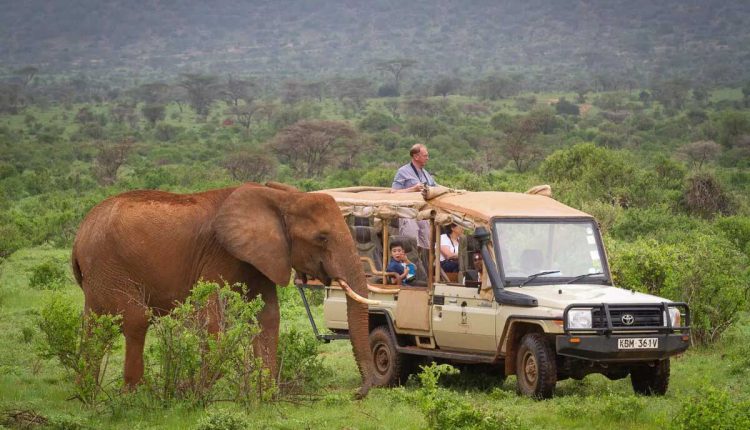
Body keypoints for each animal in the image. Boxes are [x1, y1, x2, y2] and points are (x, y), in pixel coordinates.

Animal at [72, 181, 376, 396]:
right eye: (322, 237)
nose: (357, 393)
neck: (281, 199)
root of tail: (80, 234)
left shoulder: (261, 257)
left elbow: (268, 316)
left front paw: (266, 395)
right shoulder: (220, 253)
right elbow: (211, 316)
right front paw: (194, 390)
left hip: (99, 275)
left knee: (93, 324)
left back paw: (88, 392)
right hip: (109, 265)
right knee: (136, 319)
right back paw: (133, 395)